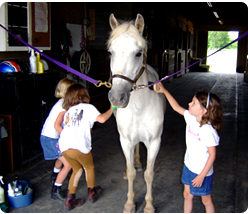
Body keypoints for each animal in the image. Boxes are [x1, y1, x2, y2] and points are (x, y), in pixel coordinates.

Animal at [107, 13, 166, 212]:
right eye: (111, 52)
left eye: (138, 53)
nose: (117, 97)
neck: (139, 108)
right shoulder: (125, 141)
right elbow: (132, 173)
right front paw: (130, 203)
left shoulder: (154, 142)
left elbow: (149, 174)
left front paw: (149, 205)